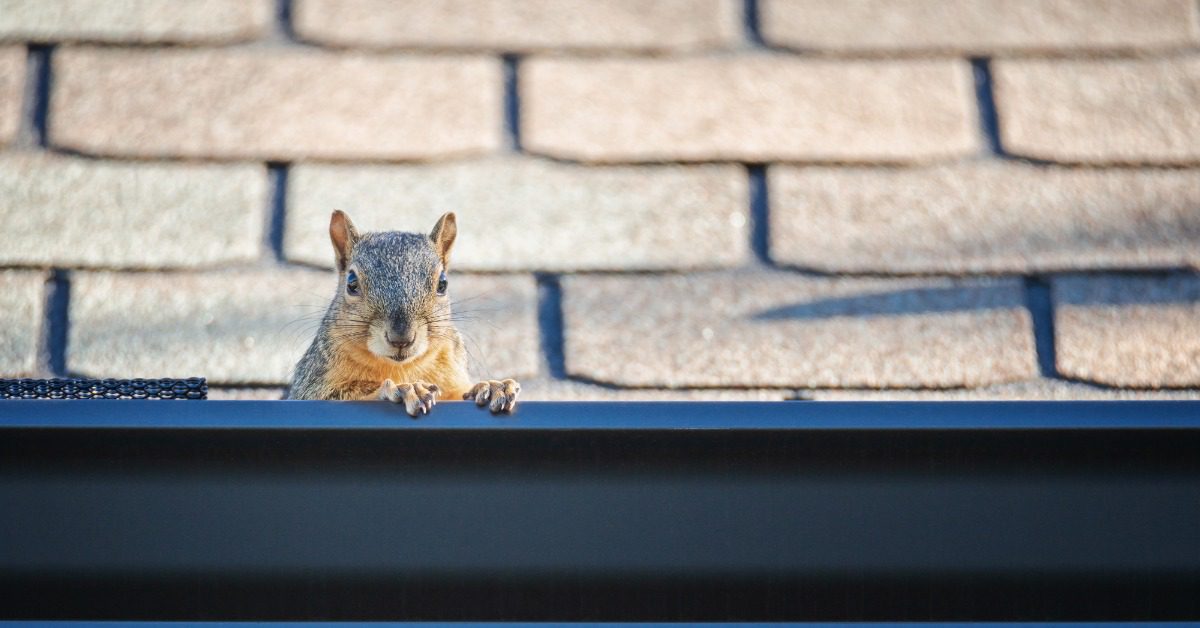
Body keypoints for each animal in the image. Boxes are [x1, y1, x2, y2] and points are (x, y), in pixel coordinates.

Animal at [287, 210, 520, 417]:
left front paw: (490, 387)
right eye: (351, 283)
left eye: (443, 283)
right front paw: (402, 389)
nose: (401, 338)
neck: (401, 367)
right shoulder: (311, 387)